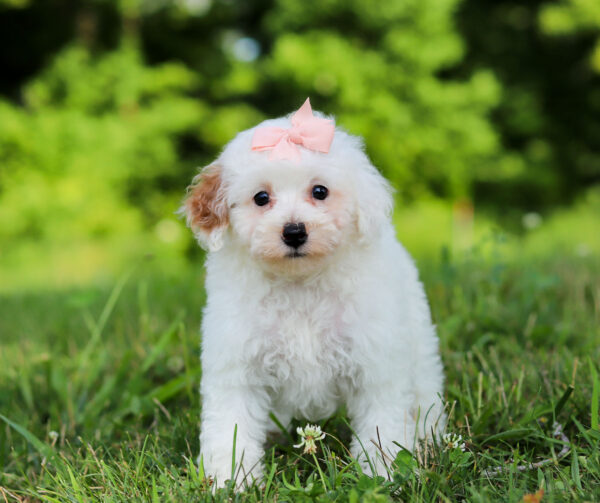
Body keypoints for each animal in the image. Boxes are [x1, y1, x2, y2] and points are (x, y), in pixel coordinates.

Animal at [183, 98, 446, 488]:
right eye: (261, 198)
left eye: (319, 191)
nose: (294, 231)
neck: (300, 282)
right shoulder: (237, 364)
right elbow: (231, 426)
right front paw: (230, 480)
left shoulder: (374, 363)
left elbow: (381, 422)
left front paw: (382, 473)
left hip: (416, 336)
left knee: (425, 390)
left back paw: (431, 439)